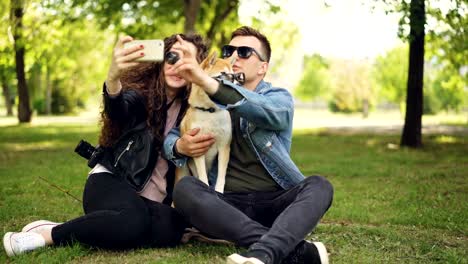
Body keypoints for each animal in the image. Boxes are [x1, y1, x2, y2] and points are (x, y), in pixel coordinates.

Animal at [174, 51, 243, 193]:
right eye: (223, 74)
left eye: (235, 76)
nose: (239, 87)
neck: (211, 112)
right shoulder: (197, 148)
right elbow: (202, 177)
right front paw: (205, 187)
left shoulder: (224, 147)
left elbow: (221, 176)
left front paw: (218, 192)